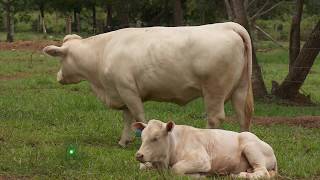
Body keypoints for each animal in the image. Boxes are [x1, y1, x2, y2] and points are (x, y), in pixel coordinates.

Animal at [43, 21, 255, 147]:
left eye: (61, 58)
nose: (58, 77)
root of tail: (227, 25)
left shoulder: (128, 90)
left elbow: (138, 116)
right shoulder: (121, 92)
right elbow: (127, 117)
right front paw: (124, 141)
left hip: (214, 90)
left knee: (215, 118)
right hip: (240, 88)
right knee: (243, 116)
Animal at [132, 119, 278, 179]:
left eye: (155, 138)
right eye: (142, 137)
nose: (139, 155)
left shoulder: (201, 159)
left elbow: (176, 169)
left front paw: (198, 175)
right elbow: (142, 167)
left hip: (251, 147)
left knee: (262, 172)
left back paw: (240, 175)